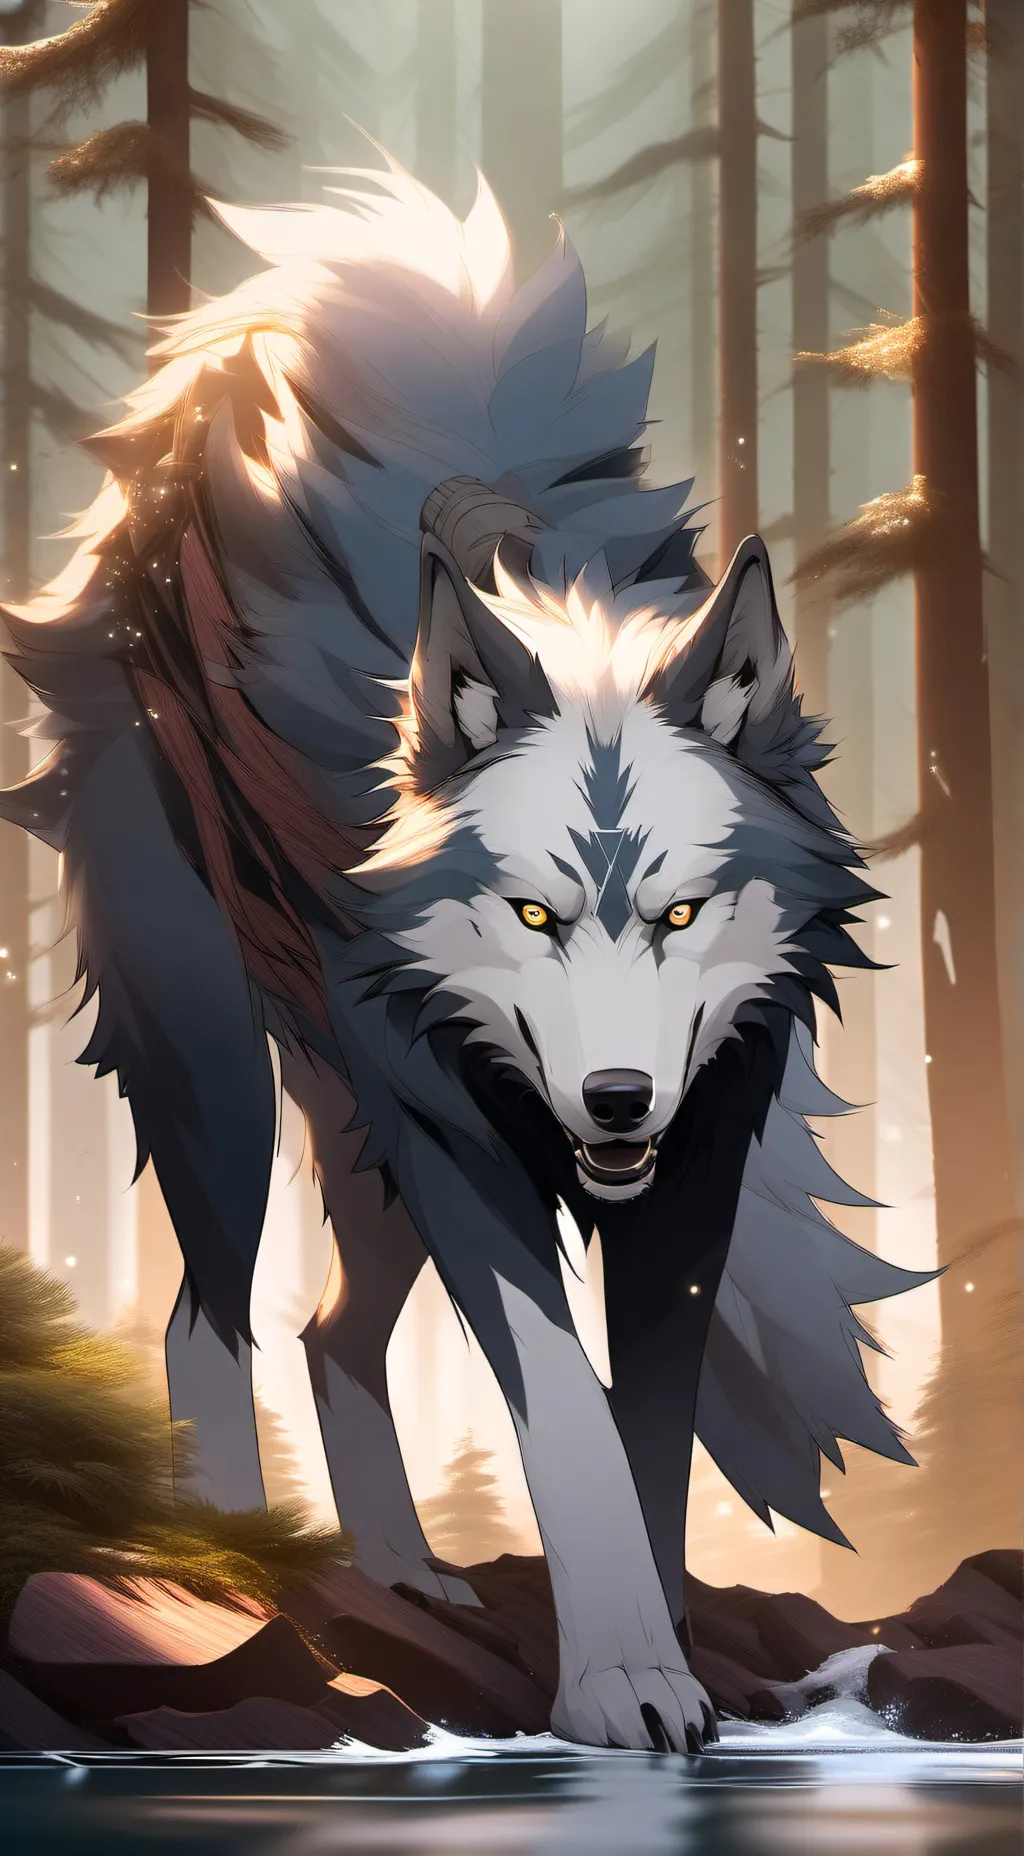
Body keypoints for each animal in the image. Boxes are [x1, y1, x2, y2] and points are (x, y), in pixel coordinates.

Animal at [0, 162, 931, 1753]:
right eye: (536, 916)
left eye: (682, 914)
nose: (615, 1101)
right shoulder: (463, 1147)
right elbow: (562, 1407)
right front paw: (620, 1681)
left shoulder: (692, 1171)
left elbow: (645, 1441)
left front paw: (658, 1652)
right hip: (232, 1073)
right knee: (206, 1319)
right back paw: (237, 1566)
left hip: (365, 1144)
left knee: (325, 1332)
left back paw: (397, 1575)